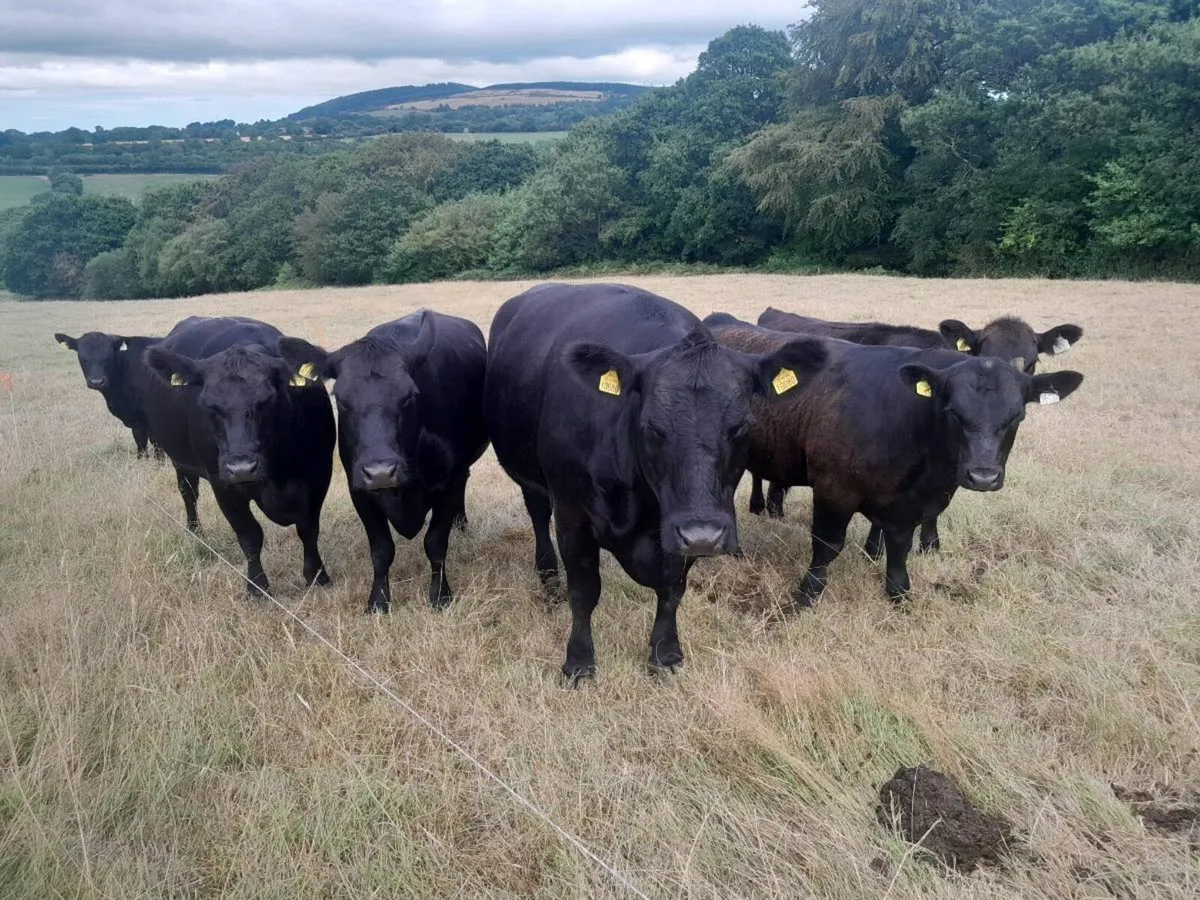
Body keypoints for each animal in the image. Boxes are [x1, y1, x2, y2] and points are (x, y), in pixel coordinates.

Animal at [54, 330, 165, 459]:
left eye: (107, 357)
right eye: (82, 358)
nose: (96, 381)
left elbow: (157, 446)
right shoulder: (137, 421)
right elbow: (141, 444)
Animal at [142, 316, 336, 597]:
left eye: (267, 400)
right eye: (209, 405)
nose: (242, 467)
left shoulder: (319, 473)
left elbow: (308, 528)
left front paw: (318, 577)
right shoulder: (223, 484)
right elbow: (250, 535)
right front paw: (257, 586)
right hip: (181, 462)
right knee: (188, 493)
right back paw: (195, 531)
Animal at [277, 310, 488, 614]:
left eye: (409, 396)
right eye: (341, 400)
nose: (380, 473)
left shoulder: (450, 481)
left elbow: (436, 544)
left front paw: (440, 596)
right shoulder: (360, 491)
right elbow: (381, 549)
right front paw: (378, 600)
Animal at [484, 284, 828, 679]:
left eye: (742, 426)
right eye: (651, 427)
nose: (703, 535)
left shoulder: (677, 528)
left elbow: (672, 590)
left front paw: (666, 654)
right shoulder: (572, 515)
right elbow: (584, 592)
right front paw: (579, 662)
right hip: (531, 480)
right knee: (539, 516)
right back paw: (548, 579)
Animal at [708, 316, 1083, 606]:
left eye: (1017, 415)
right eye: (953, 411)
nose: (983, 476)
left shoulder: (910, 506)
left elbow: (900, 548)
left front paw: (899, 594)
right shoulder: (833, 489)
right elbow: (827, 545)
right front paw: (807, 595)